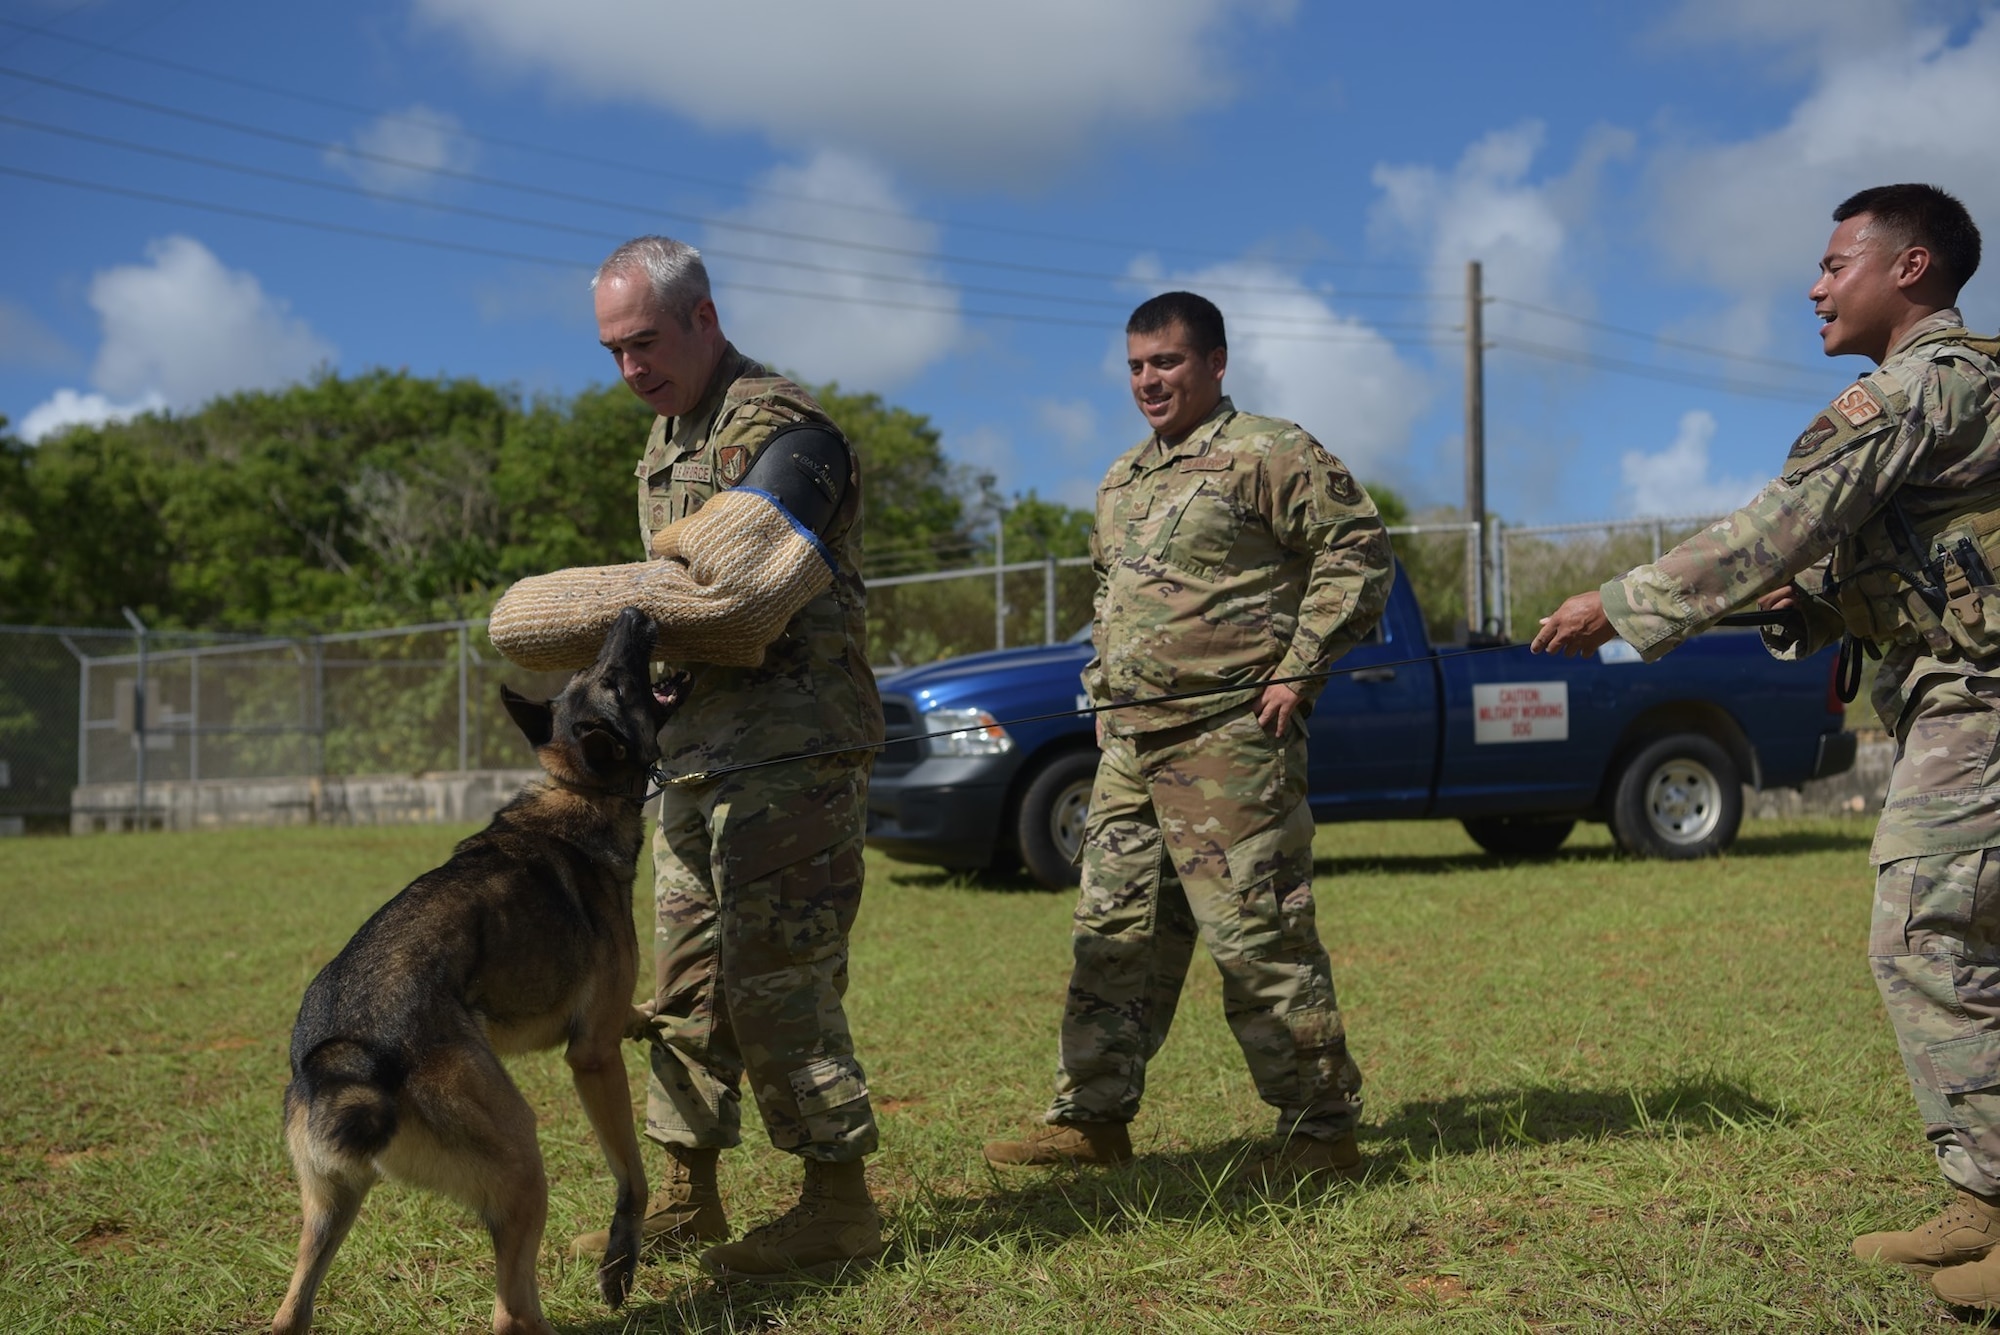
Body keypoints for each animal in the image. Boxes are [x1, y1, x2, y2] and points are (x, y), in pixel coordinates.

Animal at [274, 611, 680, 1335]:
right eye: (611, 678)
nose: (632, 615)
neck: (579, 788)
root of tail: (347, 1059)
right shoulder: (592, 1057)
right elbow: (631, 1176)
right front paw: (620, 1260)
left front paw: (652, 1015)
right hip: (522, 1161)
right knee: (512, 1310)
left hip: (330, 1209)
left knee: (291, 1312)